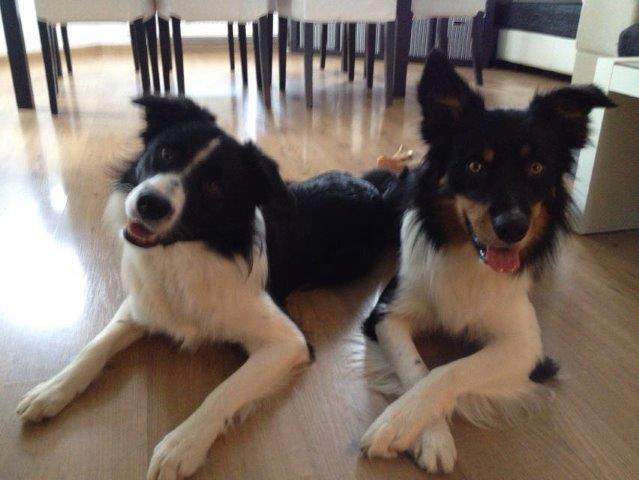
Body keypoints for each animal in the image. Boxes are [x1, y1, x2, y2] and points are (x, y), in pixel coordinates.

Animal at [16, 96, 397, 480]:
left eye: (215, 188)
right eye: (165, 152)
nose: (149, 203)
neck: (183, 255)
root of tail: (371, 186)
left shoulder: (288, 341)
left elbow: (224, 391)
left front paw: (181, 445)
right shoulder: (142, 304)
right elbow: (94, 347)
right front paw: (52, 389)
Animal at [359, 50, 615, 473]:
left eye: (536, 168)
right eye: (475, 166)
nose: (512, 228)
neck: (470, 258)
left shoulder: (528, 347)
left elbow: (448, 371)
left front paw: (404, 424)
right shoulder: (386, 313)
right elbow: (416, 367)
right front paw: (424, 433)